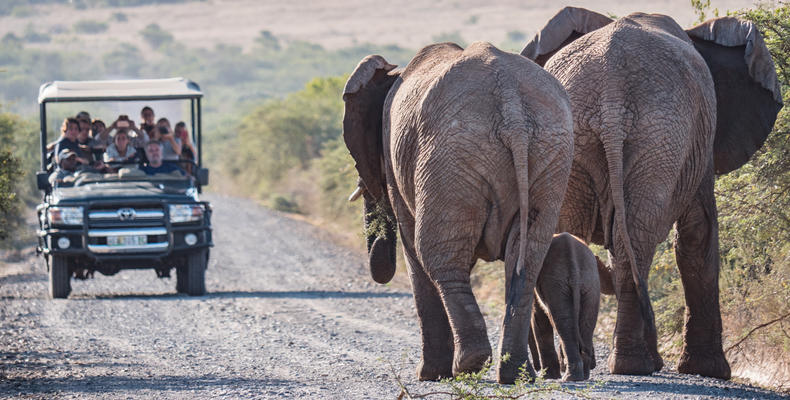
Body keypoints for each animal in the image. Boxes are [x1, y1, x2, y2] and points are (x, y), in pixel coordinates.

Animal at [342, 42, 576, 382]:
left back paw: (467, 366)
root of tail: (512, 107)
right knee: (527, 261)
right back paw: (515, 375)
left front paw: (428, 374)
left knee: (437, 256)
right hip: (550, 153)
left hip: (448, 158)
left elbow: (413, 251)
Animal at [528, 233, 604, 382]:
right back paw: (582, 376)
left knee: (562, 323)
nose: (536, 367)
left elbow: (538, 318)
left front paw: (547, 377)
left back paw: (570, 378)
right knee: (585, 323)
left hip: (557, 284)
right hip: (590, 285)